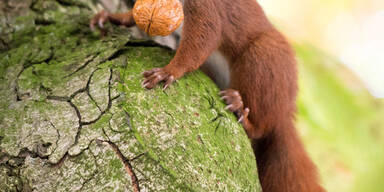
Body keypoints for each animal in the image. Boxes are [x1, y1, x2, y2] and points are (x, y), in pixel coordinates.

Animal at [90, 0, 324, 191]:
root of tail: (284, 113)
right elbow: (134, 15)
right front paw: (110, 17)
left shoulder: (205, 7)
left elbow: (202, 38)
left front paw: (169, 71)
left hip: (265, 60)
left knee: (261, 127)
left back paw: (242, 112)